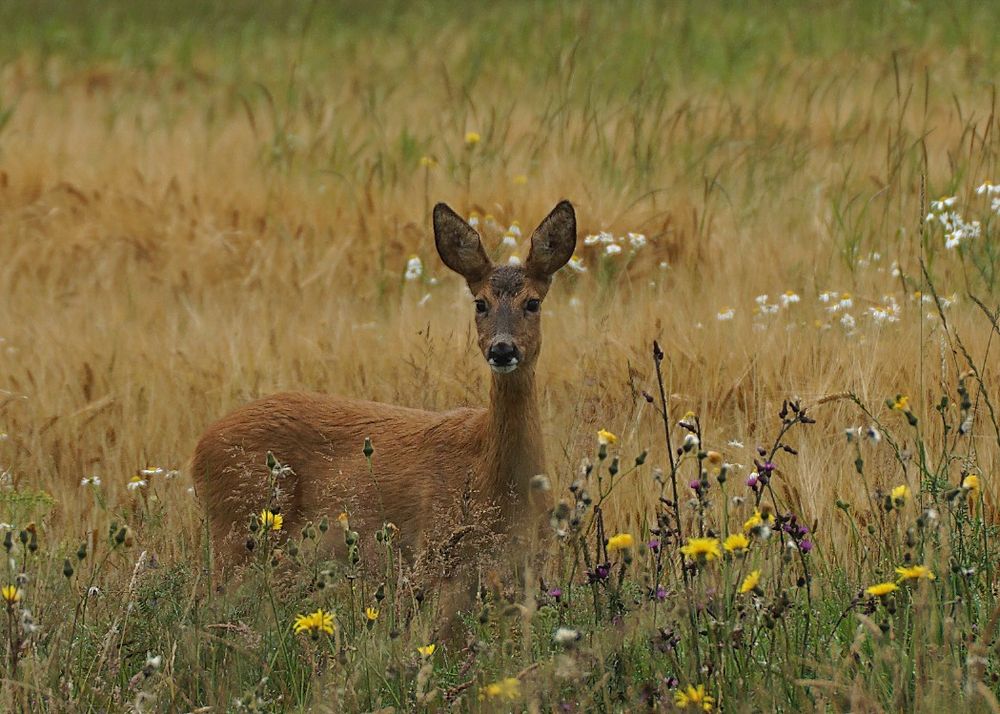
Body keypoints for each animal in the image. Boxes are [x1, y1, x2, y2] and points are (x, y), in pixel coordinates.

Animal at [191, 199, 580, 608]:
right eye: (480, 303)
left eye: (532, 302)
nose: (502, 349)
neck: (498, 479)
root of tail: (198, 451)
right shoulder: (432, 549)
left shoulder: (527, 567)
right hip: (237, 529)